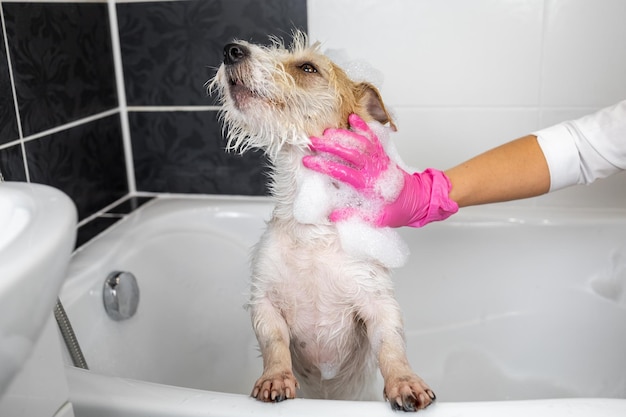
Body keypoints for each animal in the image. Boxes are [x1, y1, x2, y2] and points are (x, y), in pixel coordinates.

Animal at [210, 31, 434, 410]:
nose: (231, 49)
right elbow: (274, 344)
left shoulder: (377, 301)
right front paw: (275, 378)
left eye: (307, 67)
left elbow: (391, 346)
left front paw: (405, 382)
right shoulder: (264, 300)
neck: (312, 230)